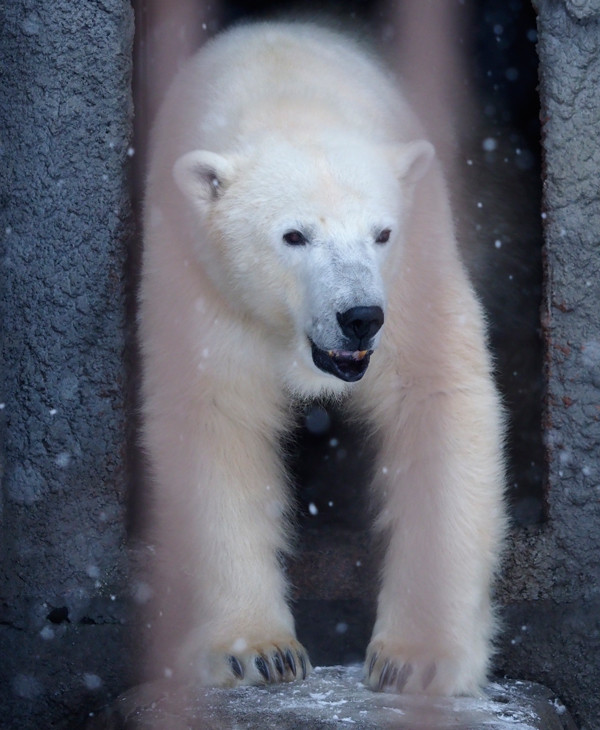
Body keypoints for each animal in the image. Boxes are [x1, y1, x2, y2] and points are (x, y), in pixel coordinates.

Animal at [142, 22, 506, 692]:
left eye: (381, 233)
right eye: (294, 235)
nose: (359, 315)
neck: (290, 98)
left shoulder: (414, 273)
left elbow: (436, 398)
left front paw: (416, 659)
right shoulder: (203, 286)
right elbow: (213, 420)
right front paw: (257, 652)